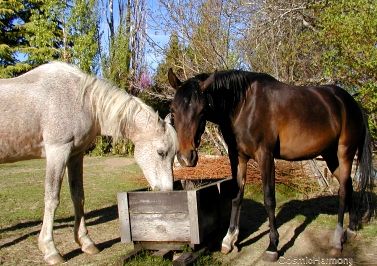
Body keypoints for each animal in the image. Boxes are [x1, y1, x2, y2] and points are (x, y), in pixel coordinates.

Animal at [0, 62, 177, 264]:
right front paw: (51, 250)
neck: (82, 100)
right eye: (161, 153)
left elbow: (78, 196)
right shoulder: (57, 152)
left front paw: (86, 242)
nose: (168, 191)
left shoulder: (75, 154)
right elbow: (52, 199)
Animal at [169, 69, 374, 262]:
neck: (243, 106)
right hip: (330, 156)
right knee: (348, 186)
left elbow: (269, 199)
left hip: (344, 152)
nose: (186, 157)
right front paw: (229, 239)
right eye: (173, 110)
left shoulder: (265, 157)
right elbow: (236, 196)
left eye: (202, 110)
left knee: (343, 191)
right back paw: (351, 229)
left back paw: (338, 238)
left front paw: (272, 246)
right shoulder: (238, 157)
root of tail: (352, 103)